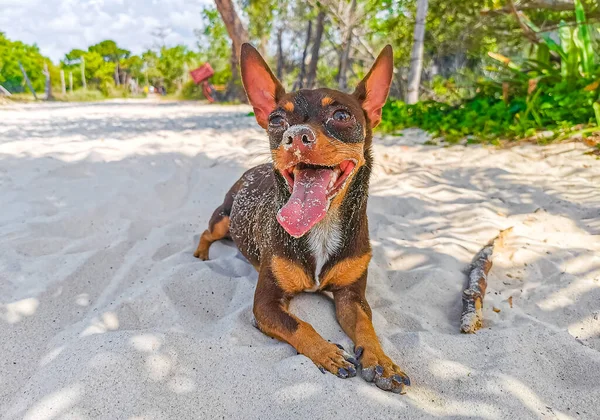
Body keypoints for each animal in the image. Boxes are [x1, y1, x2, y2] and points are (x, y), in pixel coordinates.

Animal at [195, 43, 410, 394]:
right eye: (276, 119)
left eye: (341, 116)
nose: (294, 136)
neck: (320, 227)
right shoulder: (266, 304)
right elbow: (299, 325)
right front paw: (327, 353)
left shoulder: (352, 297)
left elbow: (366, 325)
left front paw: (381, 360)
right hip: (222, 218)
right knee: (205, 232)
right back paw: (201, 253)